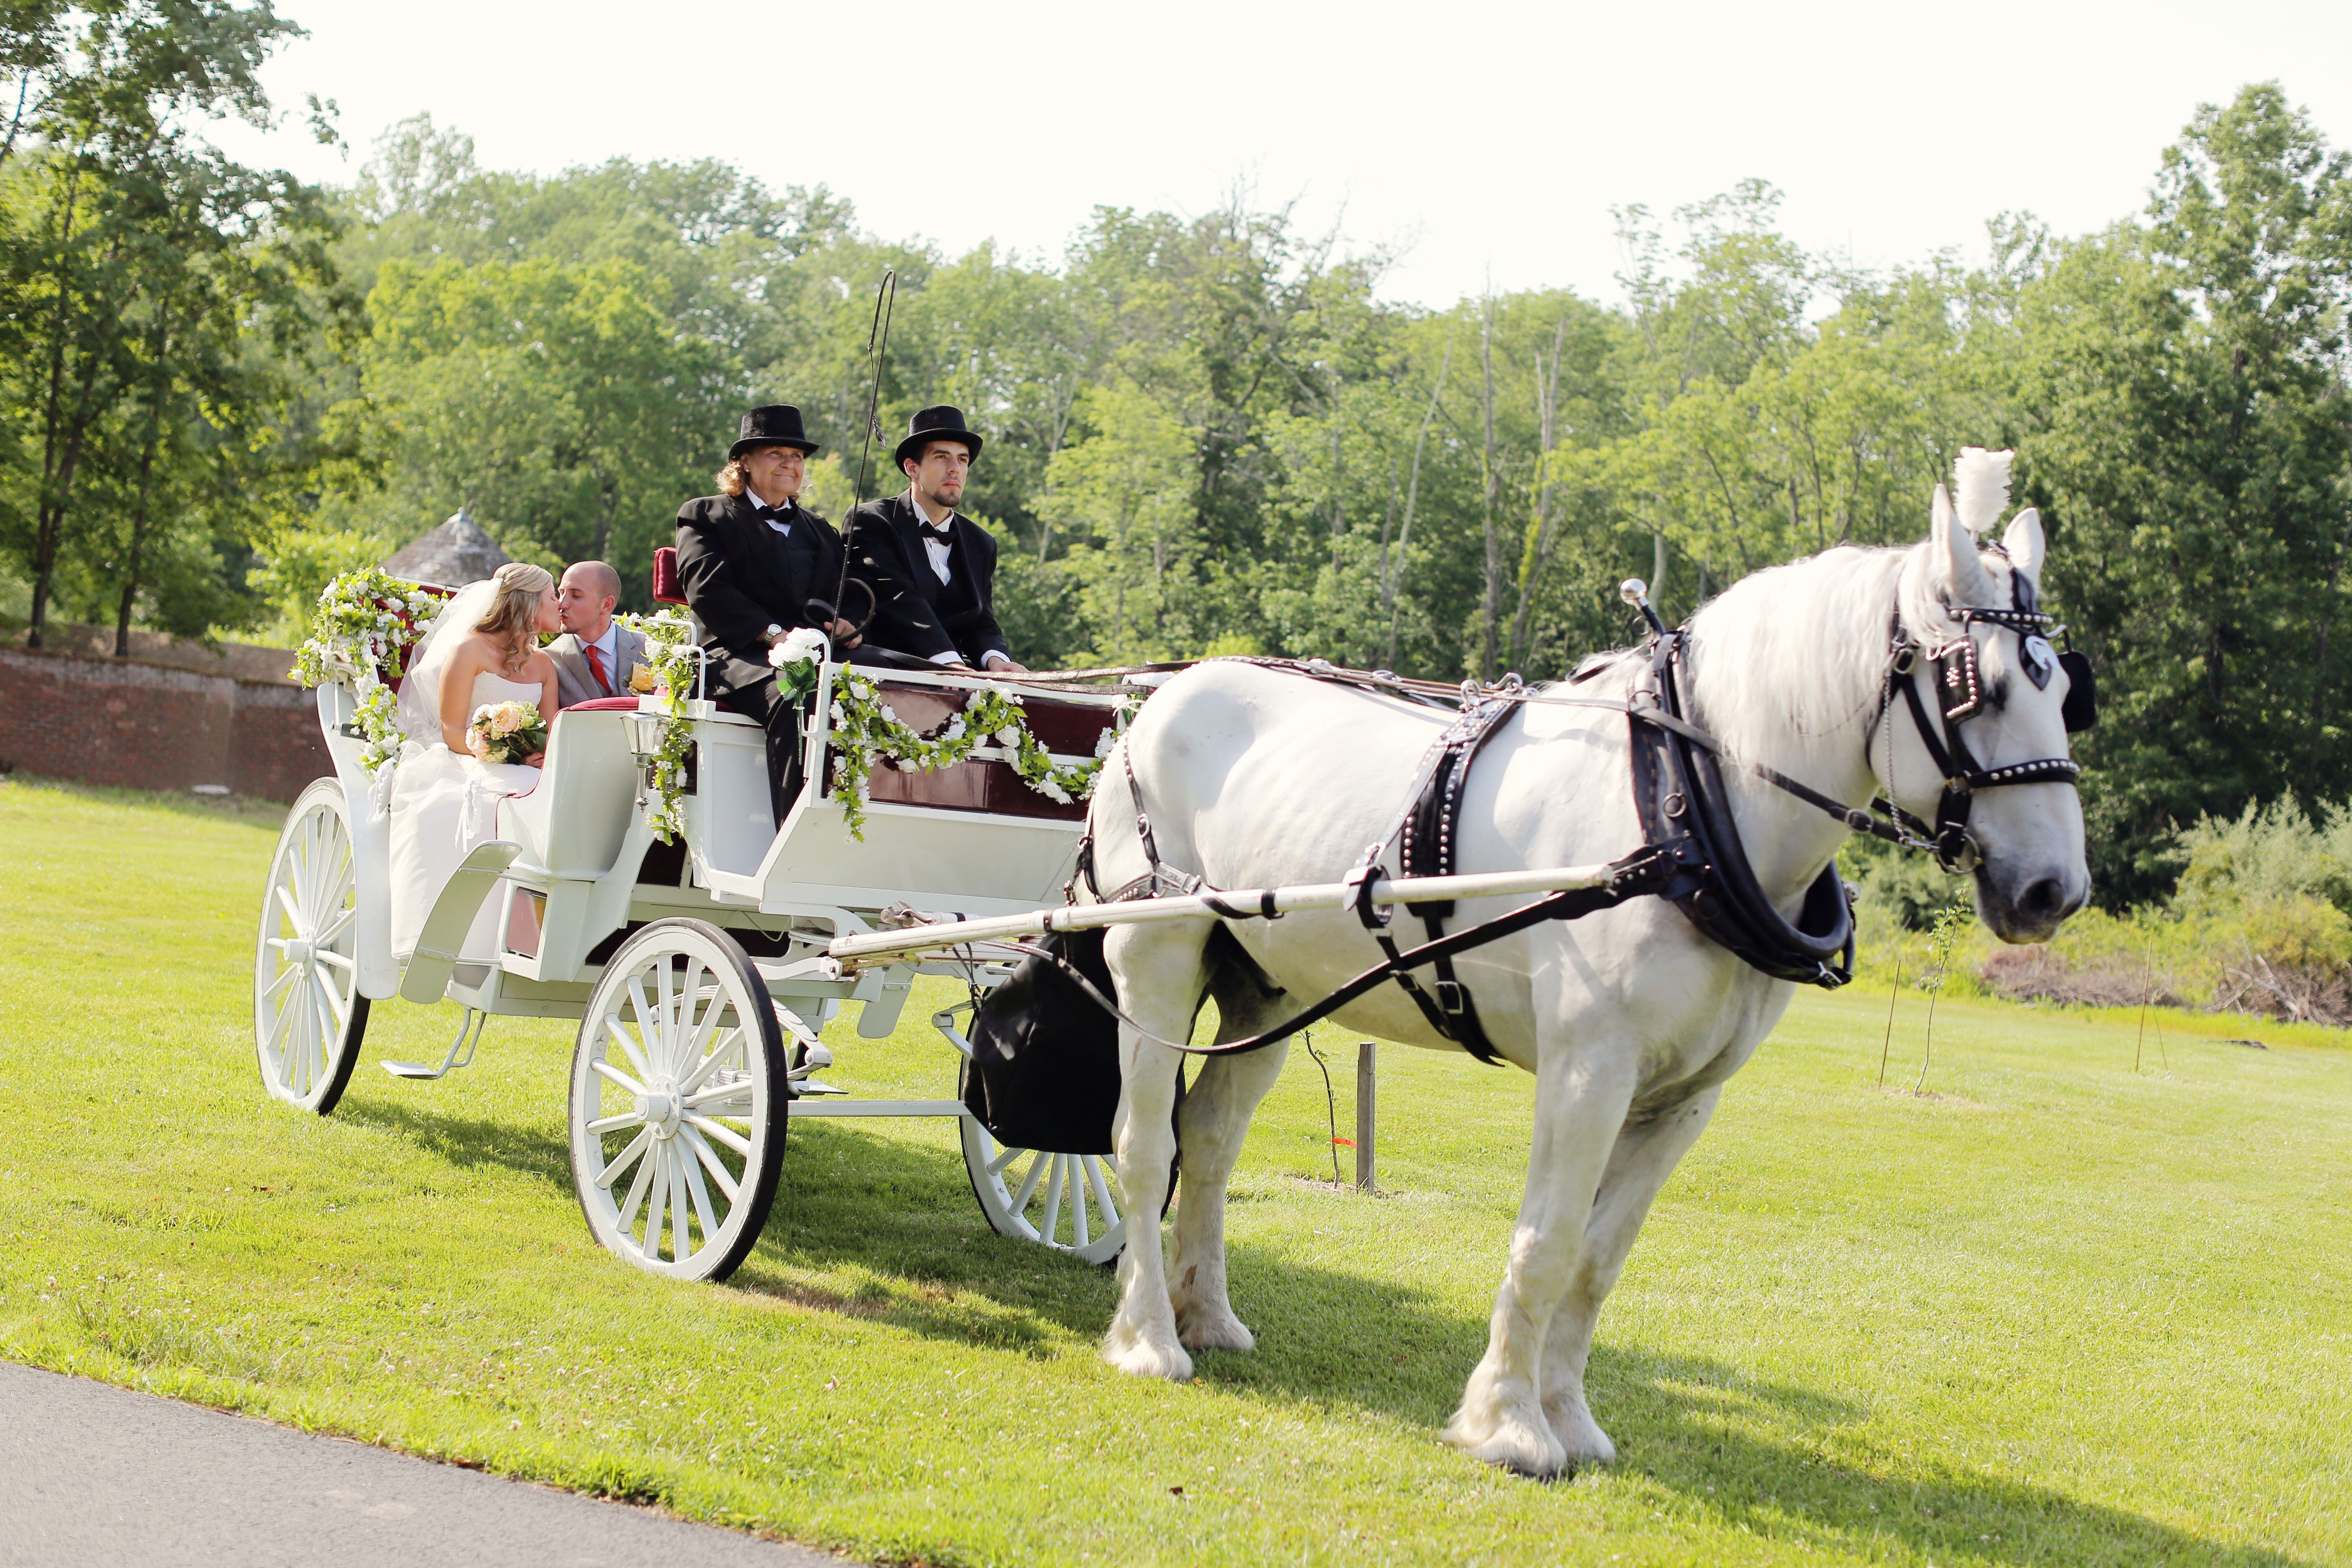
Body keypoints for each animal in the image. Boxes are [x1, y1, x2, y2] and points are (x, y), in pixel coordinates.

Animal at [1077, 461, 2088, 1476]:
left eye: (2065, 691)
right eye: (1979, 689)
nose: (2055, 889)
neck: (1682, 806)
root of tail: (1153, 702)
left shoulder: (1685, 1097)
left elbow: (1602, 1260)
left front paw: (1569, 1417)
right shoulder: (1588, 1069)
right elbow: (1550, 1243)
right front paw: (1511, 1425)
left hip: (1268, 988)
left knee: (1209, 1142)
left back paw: (1207, 1315)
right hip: (1156, 960)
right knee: (1144, 1145)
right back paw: (1149, 1337)